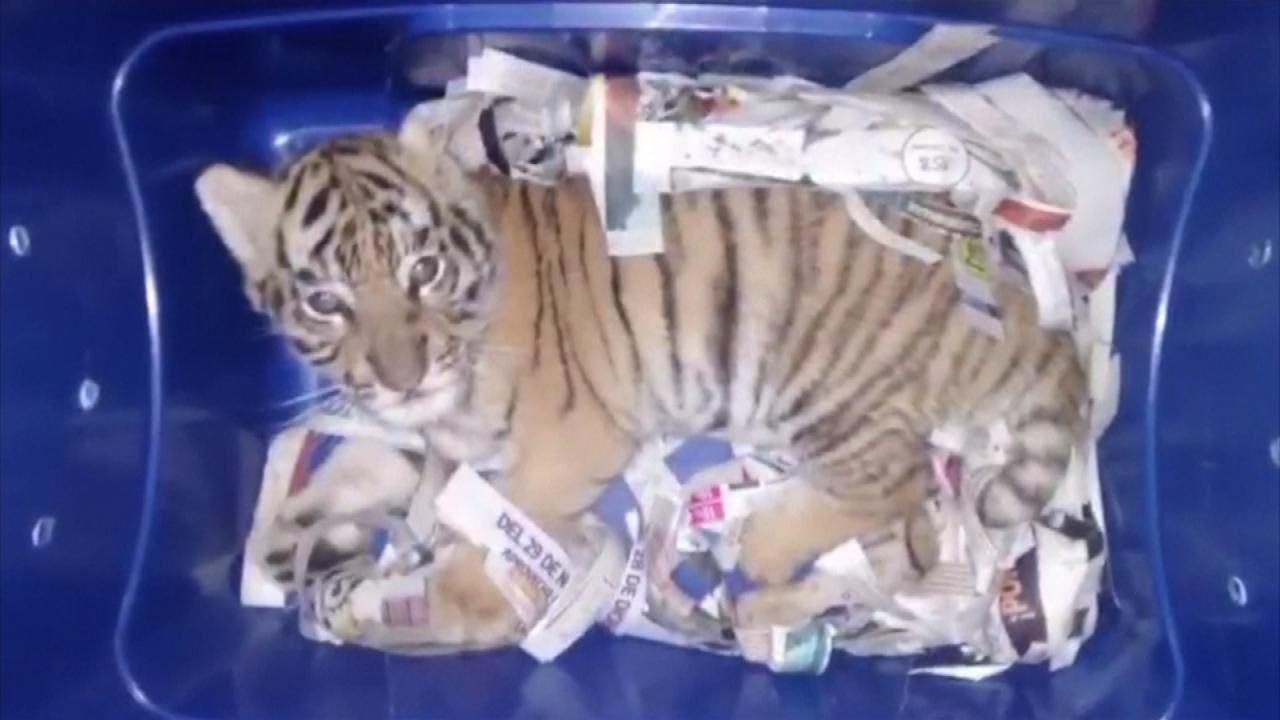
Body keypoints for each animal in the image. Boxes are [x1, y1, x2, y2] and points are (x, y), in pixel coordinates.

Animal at [195, 105, 1087, 647]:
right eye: (325, 301)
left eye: (424, 270)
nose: (403, 376)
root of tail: (1020, 305)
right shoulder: (433, 438)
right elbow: (356, 468)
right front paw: (295, 541)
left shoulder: (568, 444)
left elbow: (500, 536)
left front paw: (425, 602)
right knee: (910, 559)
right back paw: (764, 610)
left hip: (828, 393)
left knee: (896, 482)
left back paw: (762, 549)